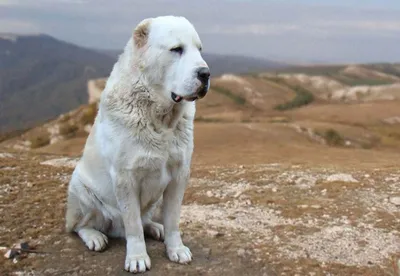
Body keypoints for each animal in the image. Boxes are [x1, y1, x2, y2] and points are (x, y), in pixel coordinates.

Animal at [65, 16, 209, 272]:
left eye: (199, 50)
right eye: (176, 49)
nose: (206, 73)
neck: (161, 120)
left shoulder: (179, 175)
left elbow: (173, 219)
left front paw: (176, 248)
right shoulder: (125, 178)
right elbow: (133, 226)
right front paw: (137, 258)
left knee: (145, 220)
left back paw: (154, 227)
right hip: (81, 189)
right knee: (80, 226)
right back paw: (95, 237)